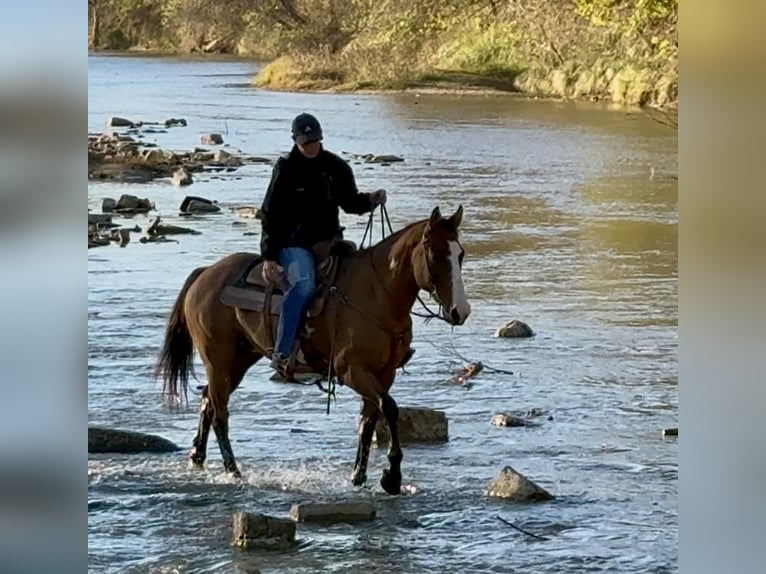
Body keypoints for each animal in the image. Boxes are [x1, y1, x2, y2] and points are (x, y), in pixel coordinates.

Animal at [156, 205, 470, 495]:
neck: (377, 292)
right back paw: (233, 471)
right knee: (220, 412)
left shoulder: (384, 373)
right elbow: (389, 408)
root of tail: (205, 274)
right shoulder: (351, 369)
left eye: (460, 254)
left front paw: (359, 477)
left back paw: (197, 457)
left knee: (208, 401)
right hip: (219, 360)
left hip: (239, 360)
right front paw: (391, 476)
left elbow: (368, 421)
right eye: (435, 255)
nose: (460, 311)